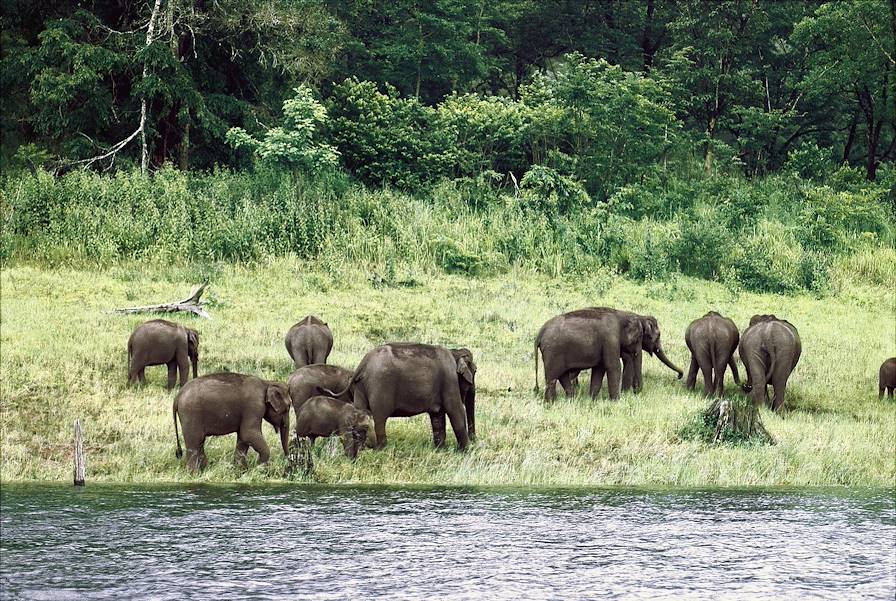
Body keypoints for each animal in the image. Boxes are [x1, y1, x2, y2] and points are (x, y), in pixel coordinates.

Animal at [328, 342, 480, 450]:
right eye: (475, 371)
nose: (475, 441)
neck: (455, 352)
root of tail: (363, 364)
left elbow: (437, 416)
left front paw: (440, 450)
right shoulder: (450, 381)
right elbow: (456, 411)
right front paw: (464, 452)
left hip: (360, 388)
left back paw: (362, 448)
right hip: (380, 386)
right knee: (380, 418)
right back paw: (382, 449)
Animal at [536, 308, 684, 400]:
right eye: (657, 335)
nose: (679, 376)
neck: (622, 314)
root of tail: (540, 333)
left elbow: (599, 369)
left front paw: (593, 400)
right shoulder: (610, 340)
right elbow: (614, 366)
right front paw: (616, 401)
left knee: (562, 376)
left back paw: (570, 399)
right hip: (553, 353)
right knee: (552, 378)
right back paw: (550, 404)